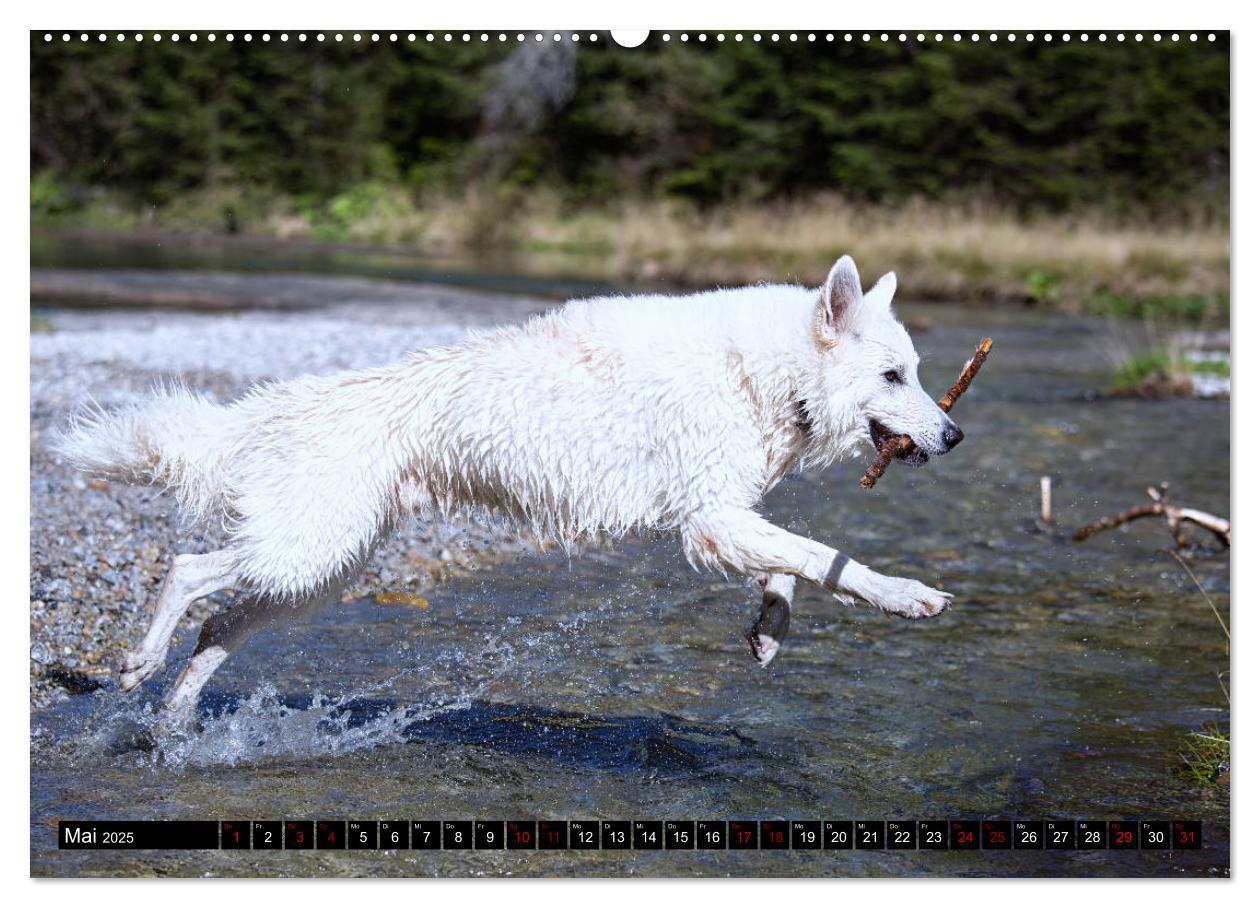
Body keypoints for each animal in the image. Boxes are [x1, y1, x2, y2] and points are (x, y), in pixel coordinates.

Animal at [56, 254, 962, 720]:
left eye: (917, 371)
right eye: (893, 375)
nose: (954, 436)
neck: (767, 374)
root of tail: (276, 405)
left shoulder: (721, 515)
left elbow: (792, 563)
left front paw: (770, 630)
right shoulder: (708, 519)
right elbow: (827, 558)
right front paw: (907, 595)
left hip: (319, 570)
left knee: (217, 628)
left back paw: (172, 727)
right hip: (306, 552)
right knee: (187, 571)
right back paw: (140, 667)